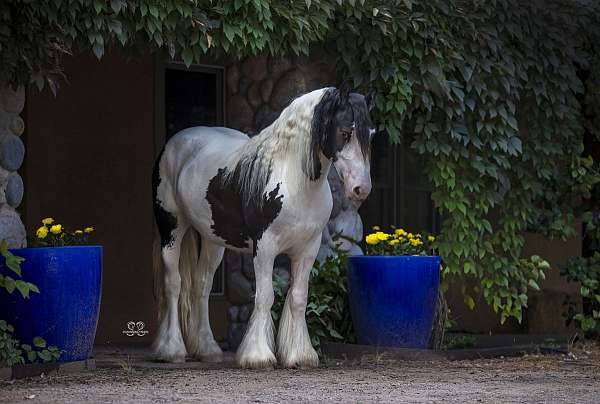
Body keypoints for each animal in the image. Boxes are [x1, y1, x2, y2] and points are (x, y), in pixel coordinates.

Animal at [152, 88, 372, 370]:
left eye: (370, 135)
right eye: (345, 133)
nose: (361, 189)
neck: (294, 181)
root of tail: (175, 143)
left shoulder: (307, 250)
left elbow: (298, 298)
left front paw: (299, 355)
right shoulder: (265, 248)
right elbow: (265, 297)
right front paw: (258, 356)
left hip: (213, 241)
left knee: (201, 286)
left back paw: (208, 350)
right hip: (172, 229)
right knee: (174, 284)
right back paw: (171, 350)